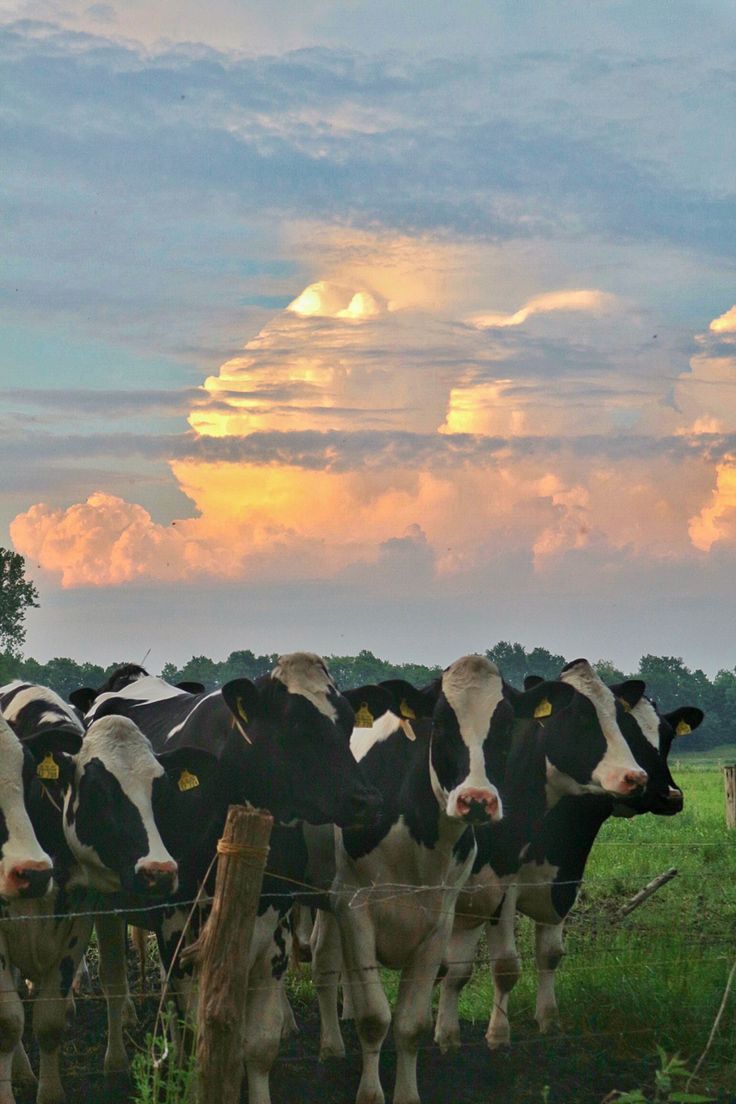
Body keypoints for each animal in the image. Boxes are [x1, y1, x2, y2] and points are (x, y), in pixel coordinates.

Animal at [311, 657, 573, 1104]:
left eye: (505, 727)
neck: (415, 836)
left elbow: (411, 1024)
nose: (476, 800)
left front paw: (407, 1094)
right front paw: (370, 1093)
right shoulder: (354, 907)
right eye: (443, 724)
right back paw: (329, 1045)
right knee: (323, 963)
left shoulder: (439, 919)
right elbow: (373, 1017)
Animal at [434, 653, 706, 1051]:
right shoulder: (499, 885)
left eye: (667, 737)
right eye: (629, 733)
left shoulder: (564, 878)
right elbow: (502, 965)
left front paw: (548, 1021)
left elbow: (549, 955)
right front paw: (497, 1036)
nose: (669, 795)